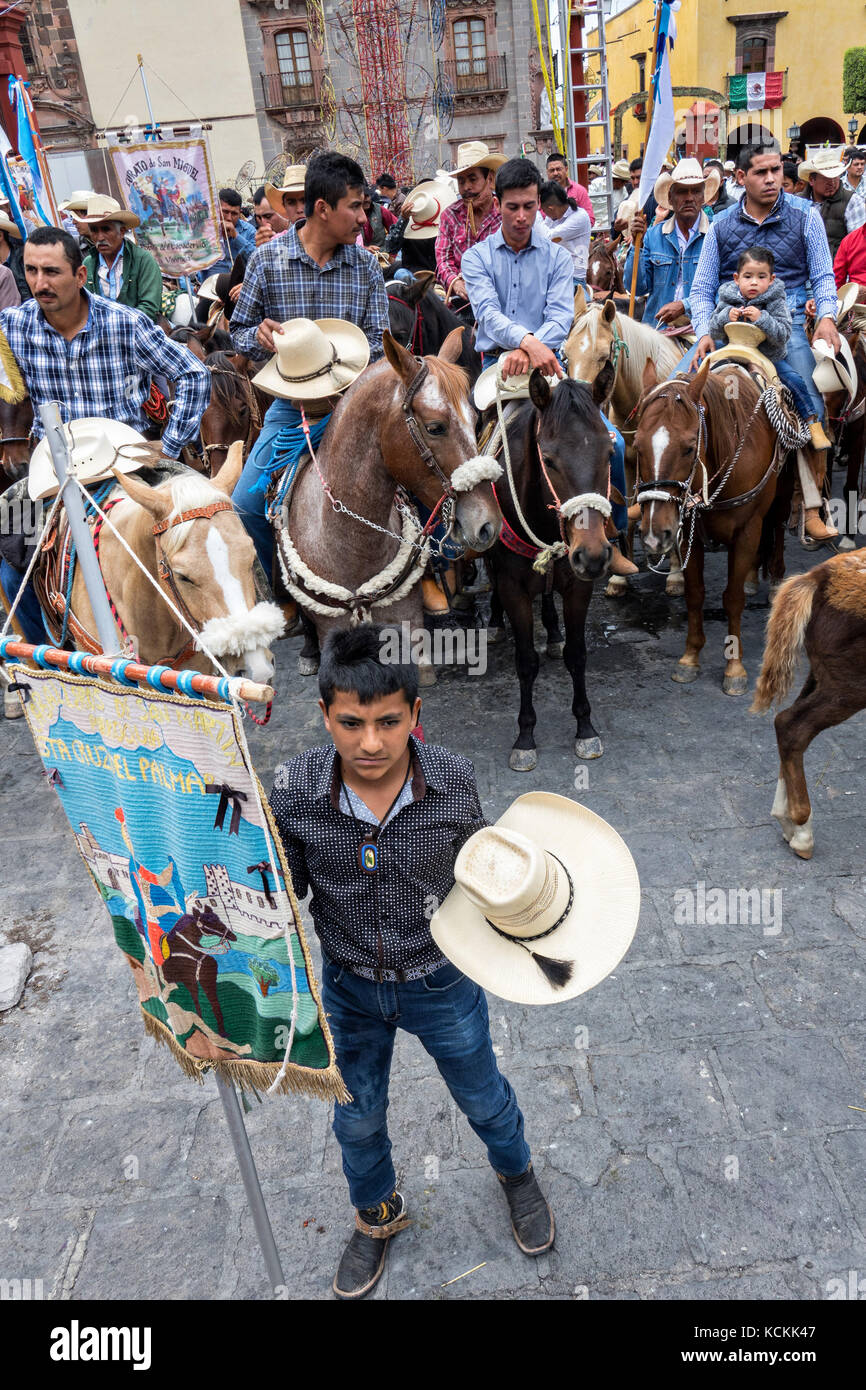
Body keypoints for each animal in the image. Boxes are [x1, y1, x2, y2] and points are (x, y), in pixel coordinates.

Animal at [273, 330, 505, 683]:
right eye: (435, 427)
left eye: (476, 420)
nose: (488, 523)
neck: (349, 543)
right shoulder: (332, 628)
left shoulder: (405, 622)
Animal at [489, 369, 617, 772]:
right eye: (548, 458)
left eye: (609, 453)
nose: (592, 555)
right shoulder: (513, 587)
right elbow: (526, 661)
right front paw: (525, 737)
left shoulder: (578, 586)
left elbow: (577, 654)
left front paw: (585, 728)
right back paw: (494, 623)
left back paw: (553, 630)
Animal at [633, 358, 789, 695]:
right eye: (637, 445)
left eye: (689, 447)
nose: (654, 534)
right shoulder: (686, 533)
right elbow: (695, 594)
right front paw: (690, 658)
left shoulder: (747, 532)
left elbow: (733, 598)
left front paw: (734, 667)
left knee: (779, 527)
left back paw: (774, 582)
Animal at [750, 550, 866, 856]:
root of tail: (819, 577)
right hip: (849, 685)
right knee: (793, 727)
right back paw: (802, 830)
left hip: (822, 674)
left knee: (786, 723)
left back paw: (787, 821)